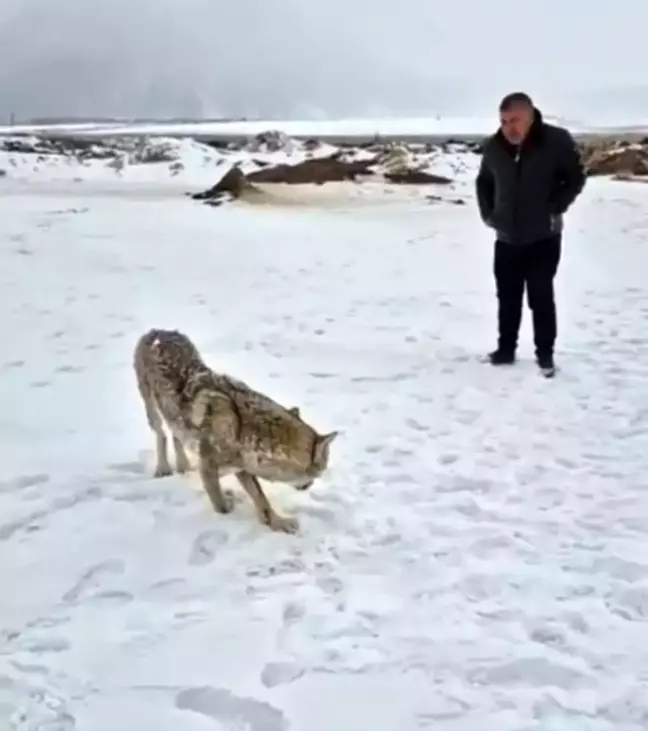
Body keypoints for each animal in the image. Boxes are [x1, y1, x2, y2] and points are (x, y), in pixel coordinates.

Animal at [133, 330, 340, 532]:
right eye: (320, 471)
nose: (310, 485)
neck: (244, 430)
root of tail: (157, 331)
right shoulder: (209, 467)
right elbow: (222, 506)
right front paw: (227, 512)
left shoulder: (242, 468)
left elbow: (261, 499)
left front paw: (278, 523)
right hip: (152, 410)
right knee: (161, 435)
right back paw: (163, 469)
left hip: (174, 417)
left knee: (176, 437)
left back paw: (183, 467)